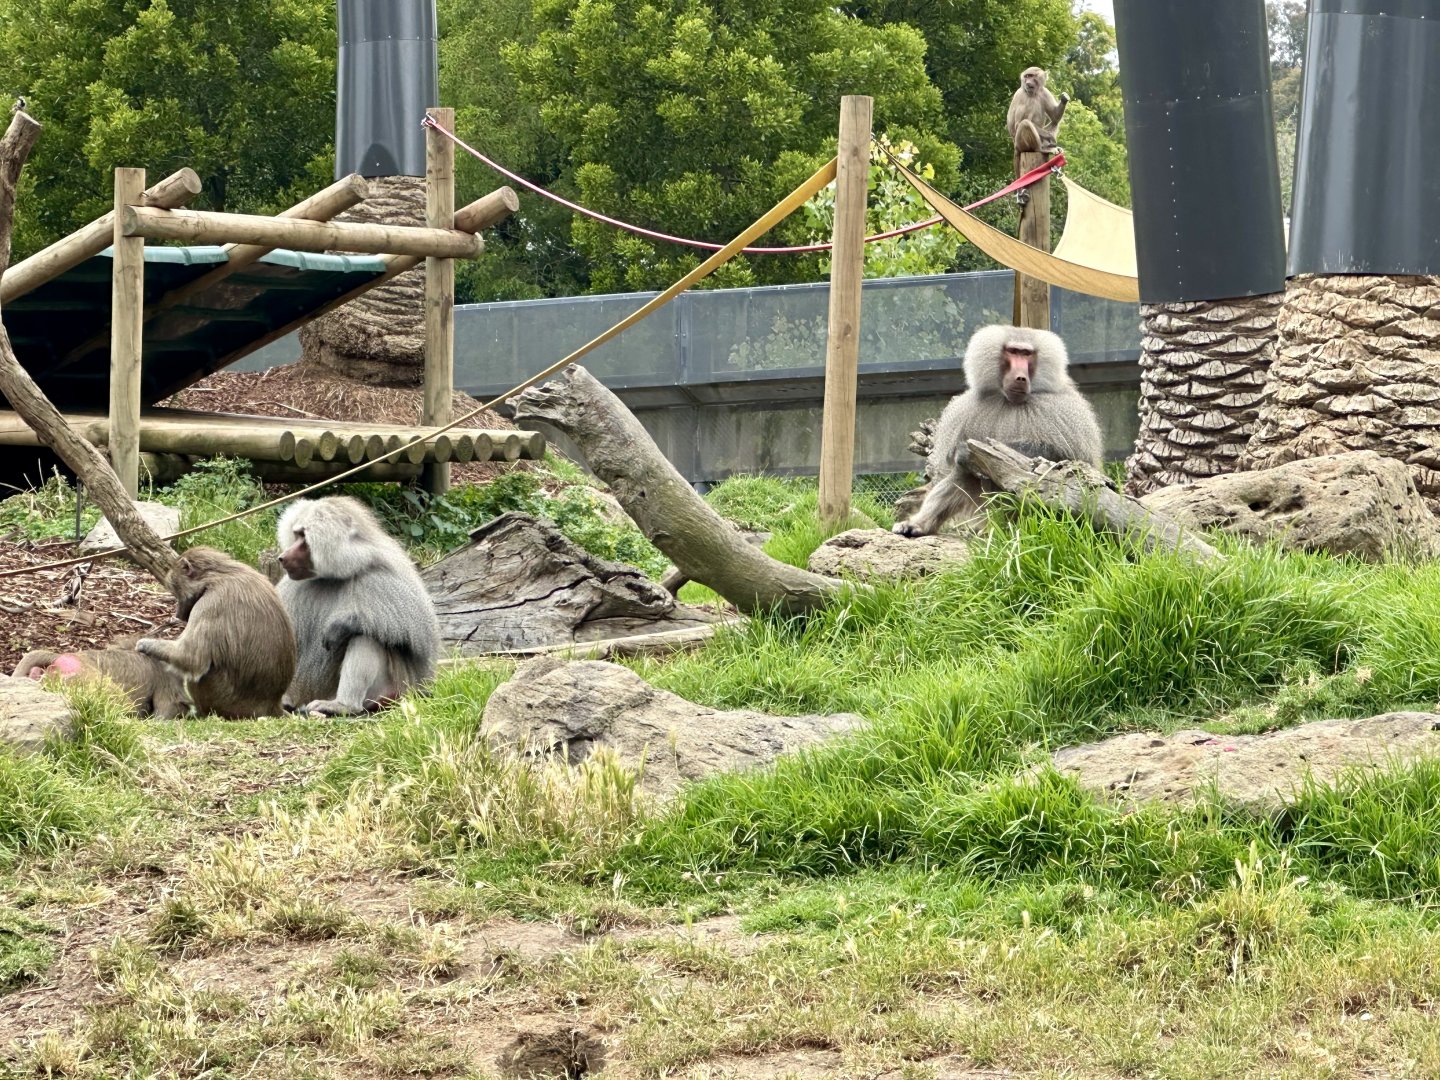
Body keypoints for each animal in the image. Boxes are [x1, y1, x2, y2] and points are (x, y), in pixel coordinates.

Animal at [135, 546, 297, 719]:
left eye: (176, 591)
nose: (178, 614)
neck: (218, 575)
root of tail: (272, 705)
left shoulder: (209, 604)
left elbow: (191, 658)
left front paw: (144, 644)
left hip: (226, 701)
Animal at [274, 496, 439, 717]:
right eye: (296, 534)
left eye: (303, 536)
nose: (282, 558)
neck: (340, 572)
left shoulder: (386, 576)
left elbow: (420, 638)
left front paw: (341, 625)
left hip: (392, 689)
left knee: (367, 635)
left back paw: (342, 705)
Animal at [892, 324, 1103, 538]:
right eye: (1013, 351)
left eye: (1026, 354)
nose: (1020, 377)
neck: (1011, 402)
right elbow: (955, 463)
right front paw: (962, 454)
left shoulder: (1065, 410)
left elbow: (1063, 461)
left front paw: (972, 451)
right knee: (963, 473)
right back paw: (919, 525)